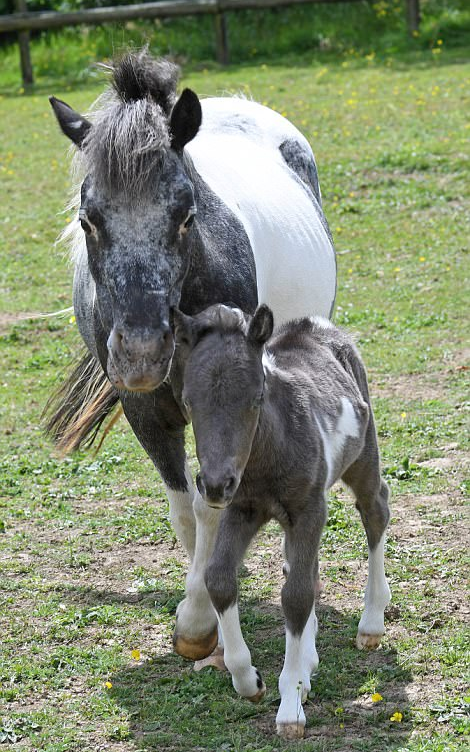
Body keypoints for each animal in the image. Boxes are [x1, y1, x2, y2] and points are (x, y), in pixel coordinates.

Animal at [46, 50, 337, 663]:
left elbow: (210, 506)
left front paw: (199, 624)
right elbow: (184, 512)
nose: (140, 353)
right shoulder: (147, 413)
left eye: (185, 215)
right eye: (88, 219)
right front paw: (207, 622)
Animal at [171, 303, 391, 739]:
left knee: (376, 510)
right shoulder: (242, 509)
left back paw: (371, 623)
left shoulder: (307, 509)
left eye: (256, 397)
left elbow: (296, 596)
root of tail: (315, 326)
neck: (266, 456)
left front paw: (290, 705)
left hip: (362, 457)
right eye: (188, 401)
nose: (215, 484)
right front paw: (249, 680)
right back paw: (309, 662)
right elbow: (219, 578)